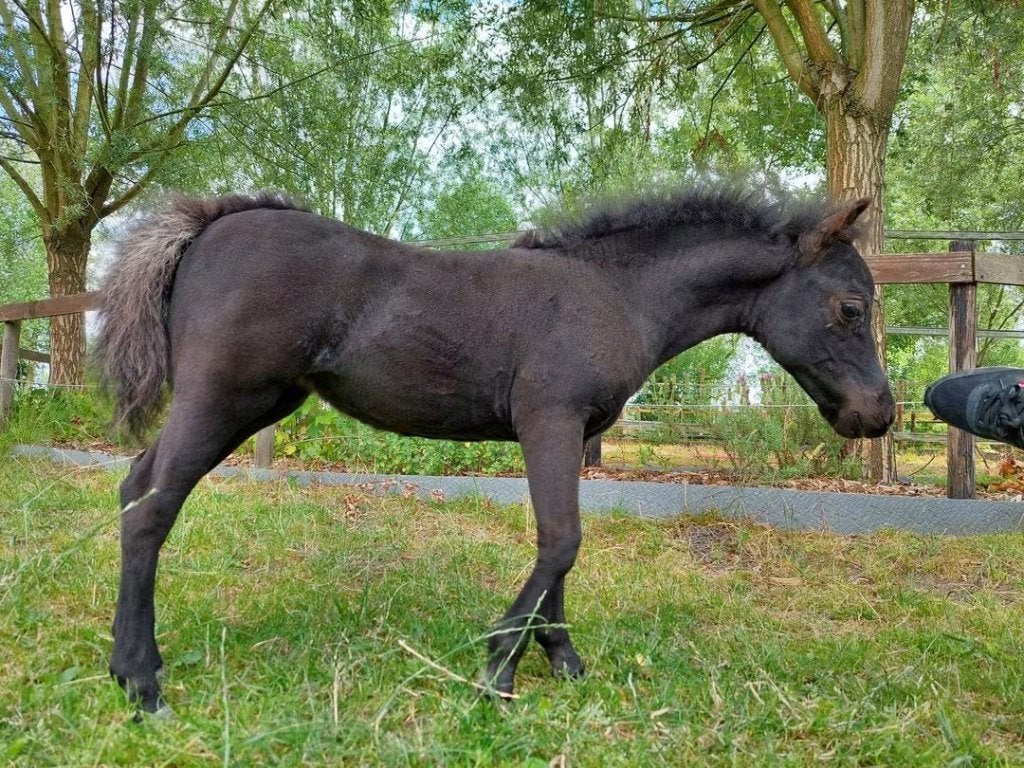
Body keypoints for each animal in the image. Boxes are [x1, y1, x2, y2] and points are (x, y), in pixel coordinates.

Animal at [95, 186, 895, 712]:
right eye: (851, 309)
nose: (879, 414)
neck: (616, 291)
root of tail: (208, 223)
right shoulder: (550, 418)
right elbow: (562, 540)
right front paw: (500, 665)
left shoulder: (572, 432)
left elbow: (561, 545)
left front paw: (562, 657)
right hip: (224, 396)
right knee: (151, 507)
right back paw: (141, 681)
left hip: (255, 403)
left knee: (136, 484)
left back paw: (133, 664)